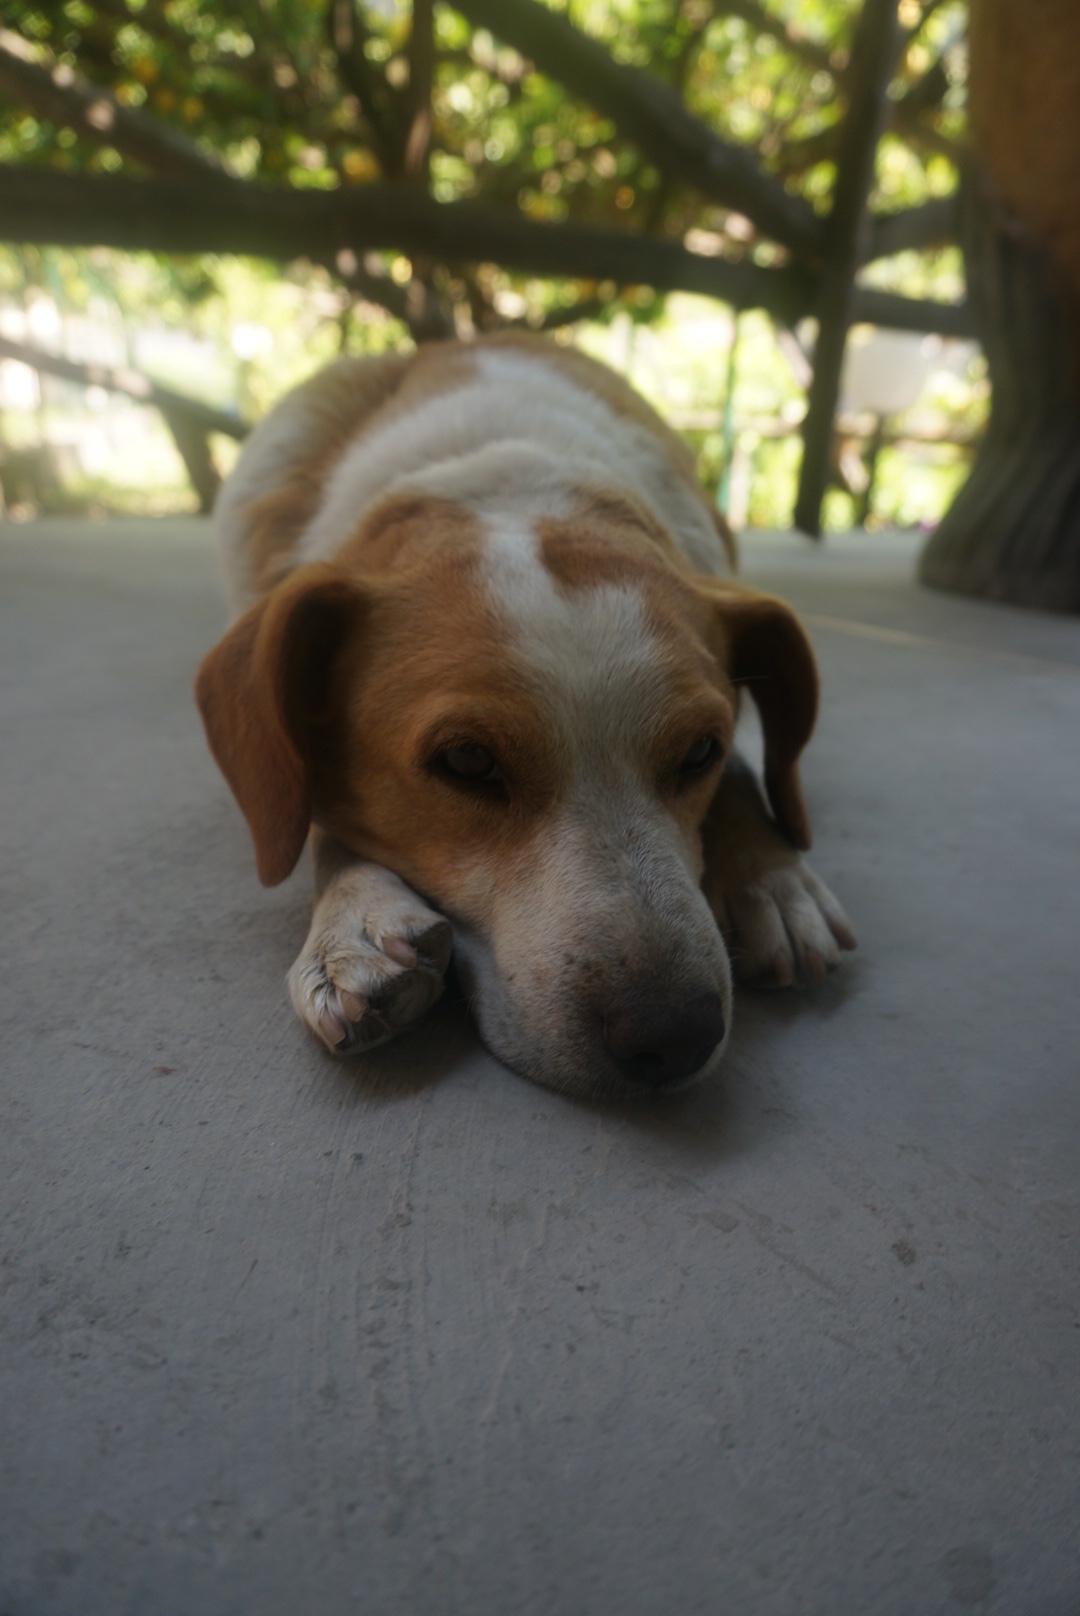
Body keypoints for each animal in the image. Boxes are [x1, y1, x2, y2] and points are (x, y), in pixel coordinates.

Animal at [195, 333, 855, 1098]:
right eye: (467, 760)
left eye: (699, 752)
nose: (674, 1036)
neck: (505, 475)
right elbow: (320, 816)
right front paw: (351, 917)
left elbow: (751, 769)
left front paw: (769, 873)